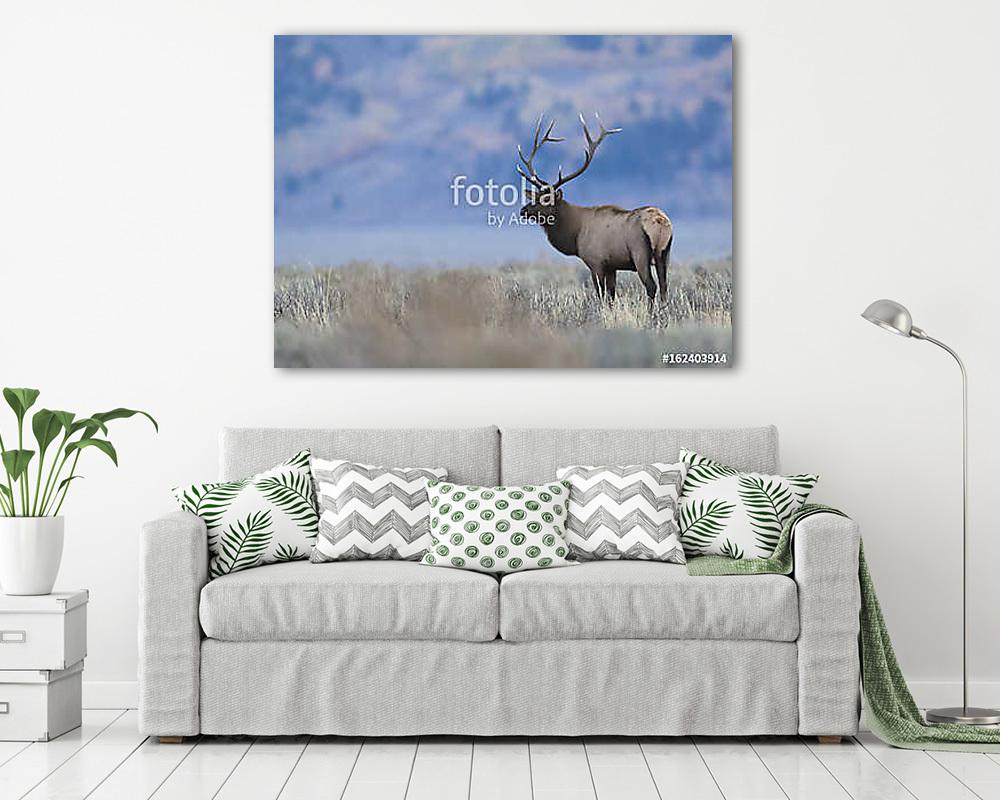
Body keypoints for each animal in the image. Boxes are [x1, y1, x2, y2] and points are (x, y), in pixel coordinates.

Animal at [517, 113, 673, 313]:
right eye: (535, 196)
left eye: (547, 199)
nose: (523, 210)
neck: (575, 233)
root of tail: (661, 223)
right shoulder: (612, 266)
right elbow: (612, 295)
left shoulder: (596, 262)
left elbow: (601, 295)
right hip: (664, 253)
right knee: (664, 286)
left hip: (640, 253)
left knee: (651, 286)